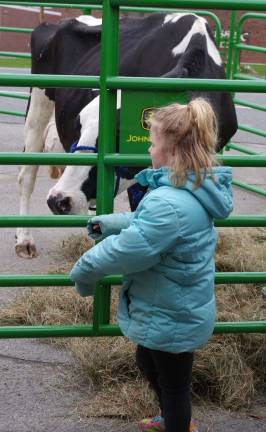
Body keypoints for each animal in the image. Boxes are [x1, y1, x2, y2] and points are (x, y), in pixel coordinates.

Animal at [16, 12, 237, 256]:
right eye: (79, 125)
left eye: (121, 132)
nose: (59, 200)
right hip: (37, 107)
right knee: (27, 175)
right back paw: (24, 239)